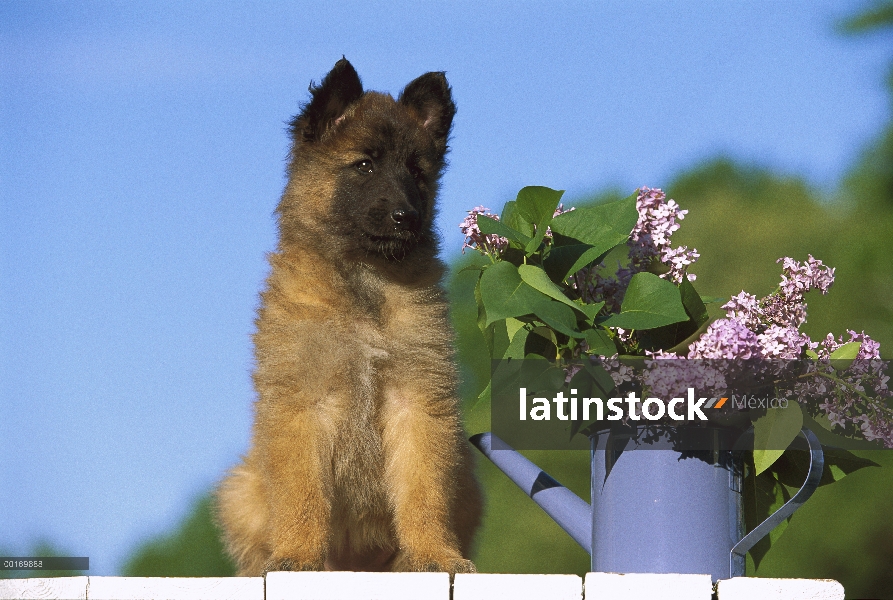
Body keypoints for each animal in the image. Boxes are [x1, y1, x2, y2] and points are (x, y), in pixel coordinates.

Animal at [216, 57, 480, 576]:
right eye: (364, 164)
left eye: (417, 172)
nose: (406, 217)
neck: (364, 282)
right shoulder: (302, 405)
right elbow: (302, 493)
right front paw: (298, 556)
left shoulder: (417, 401)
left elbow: (424, 491)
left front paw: (433, 554)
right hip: (241, 490)